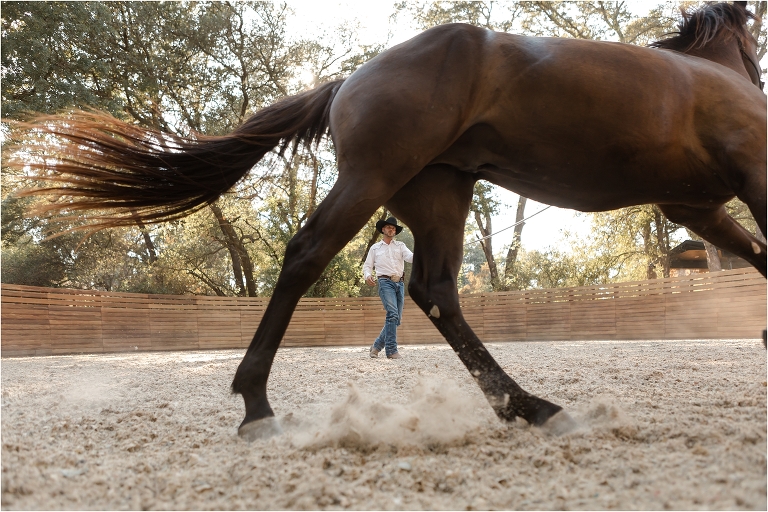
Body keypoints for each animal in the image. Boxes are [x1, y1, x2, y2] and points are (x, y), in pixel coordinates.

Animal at [9, 1, 764, 440]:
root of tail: (349, 79)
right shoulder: (747, 179)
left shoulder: (696, 205)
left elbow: (755, 253)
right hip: (373, 181)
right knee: (307, 255)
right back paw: (256, 405)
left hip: (436, 197)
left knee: (435, 292)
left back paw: (527, 406)